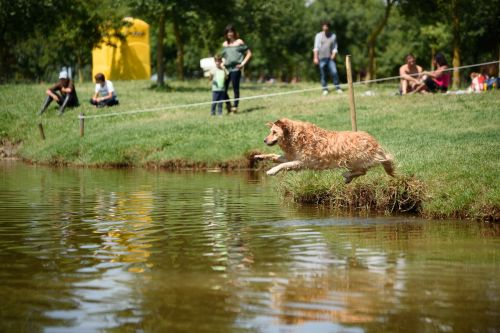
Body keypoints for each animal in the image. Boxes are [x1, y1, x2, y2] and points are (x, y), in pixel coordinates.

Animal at [256, 118, 396, 183]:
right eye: (271, 131)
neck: (296, 137)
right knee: (362, 171)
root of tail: (374, 141)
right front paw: (260, 156)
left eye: (274, 132)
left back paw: (347, 175)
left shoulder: (304, 162)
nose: (264, 140)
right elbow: (275, 156)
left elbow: (283, 165)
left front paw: (272, 171)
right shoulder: (293, 157)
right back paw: (348, 177)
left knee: (365, 169)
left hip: (354, 158)